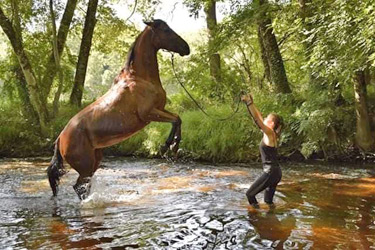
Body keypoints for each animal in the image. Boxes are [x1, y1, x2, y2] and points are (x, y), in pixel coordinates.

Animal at [47, 19, 191, 199]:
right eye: (165, 30)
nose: (186, 47)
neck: (140, 78)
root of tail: (60, 138)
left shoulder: (159, 110)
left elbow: (178, 118)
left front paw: (174, 145)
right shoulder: (148, 114)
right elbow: (175, 119)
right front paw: (167, 145)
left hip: (95, 160)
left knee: (83, 186)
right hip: (85, 166)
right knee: (79, 186)